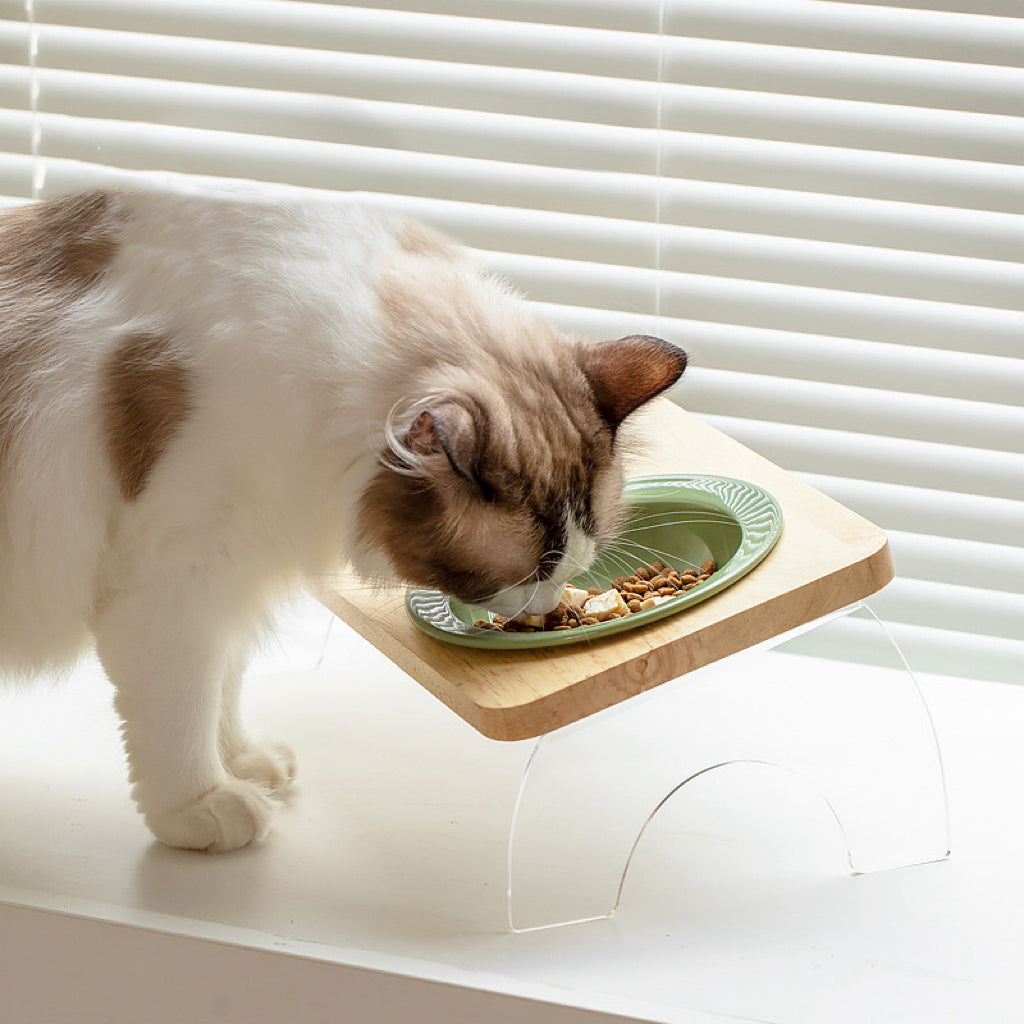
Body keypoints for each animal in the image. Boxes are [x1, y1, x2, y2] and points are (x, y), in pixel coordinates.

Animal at [2, 182, 688, 847]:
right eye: (529, 574)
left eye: (570, 566)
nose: (548, 610)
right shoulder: (173, 586)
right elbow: (182, 710)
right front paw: (203, 806)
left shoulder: (228, 577)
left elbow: (223, 688)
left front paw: (245, 764)